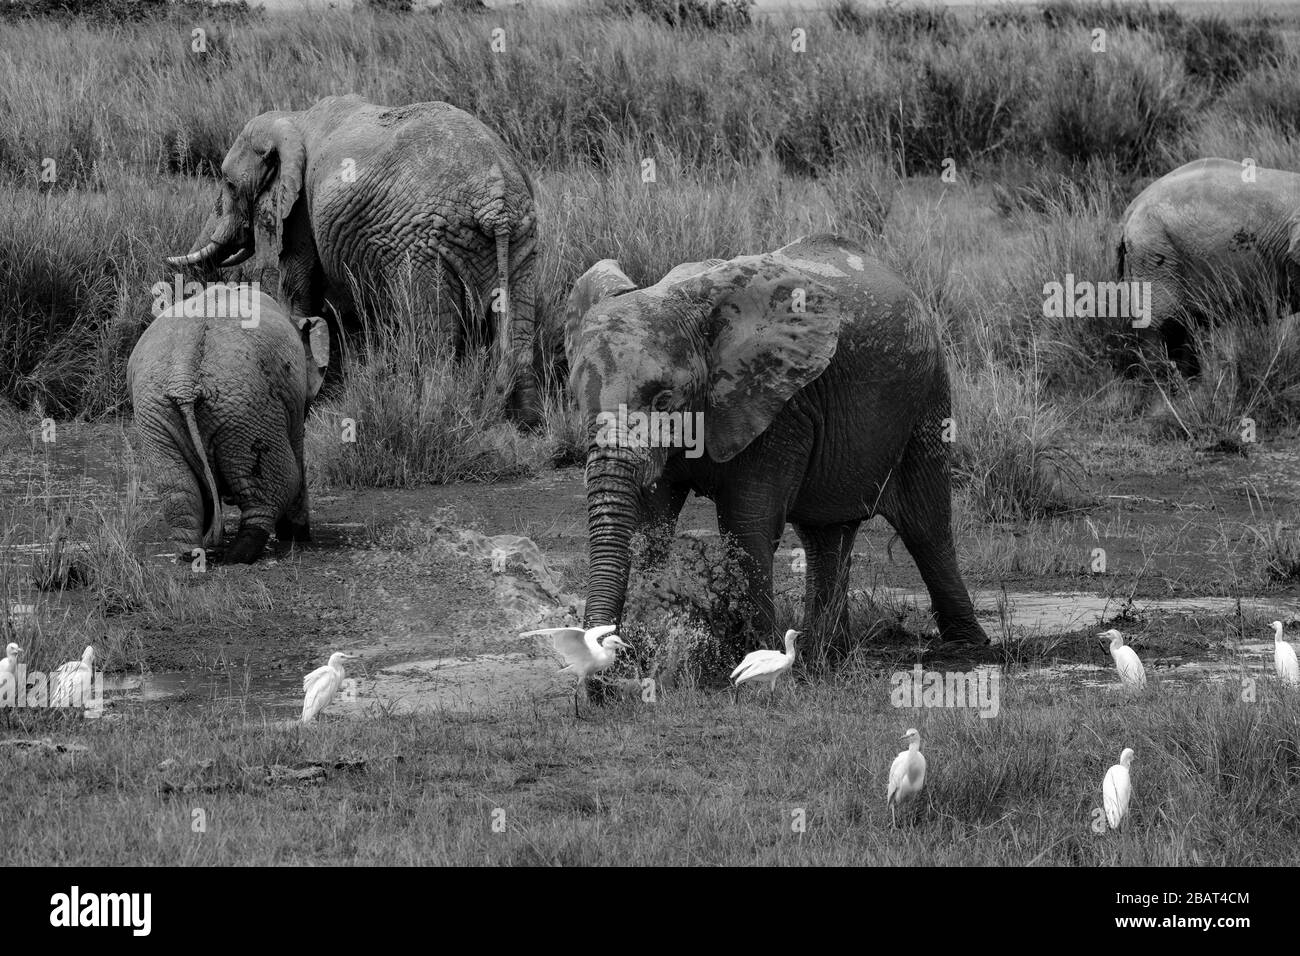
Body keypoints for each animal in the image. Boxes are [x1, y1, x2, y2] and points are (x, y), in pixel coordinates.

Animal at [128, 286, 330, 567]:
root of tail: (184, 374)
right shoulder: (294, 401)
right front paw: (297, 536)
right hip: (249, 405)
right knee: (274, 482)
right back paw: (239, 555)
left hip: (157, 409)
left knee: (178, 489)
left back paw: (192, 554)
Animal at [163, 95, 543, 424]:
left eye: (228, 184)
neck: (293, 119)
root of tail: (495, 200)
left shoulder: (300, 213)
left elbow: (296, 289)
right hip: (522, 241)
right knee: (518, 329)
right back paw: (525, 424)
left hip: (425, 248)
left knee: (436, 340)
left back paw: (436, 413)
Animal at [566, 235, 982, 650]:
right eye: (577, 398)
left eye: (664, 399)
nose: (601, 650)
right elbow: (650, 523)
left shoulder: (779, 404)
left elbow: (747, 522)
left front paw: (756, 651)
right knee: (826, 533)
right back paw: (826, 649)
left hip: (927, 395)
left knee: (925, 525)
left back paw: (967, 644)